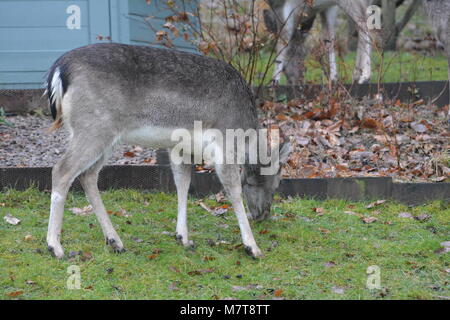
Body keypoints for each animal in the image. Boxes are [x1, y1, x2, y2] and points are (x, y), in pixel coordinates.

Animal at [44, 42, 290, 258]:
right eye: (277, 181)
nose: (263, 214)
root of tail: (59, 70)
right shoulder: (224, 142)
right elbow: (233, 190)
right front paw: (253, 247)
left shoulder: (181, 147)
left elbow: (182, 182)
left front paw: (183, 237)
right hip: (94, 128)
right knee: (62, 170)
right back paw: (55, 247)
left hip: (103, 138)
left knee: (87, 175)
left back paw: (115, 241)